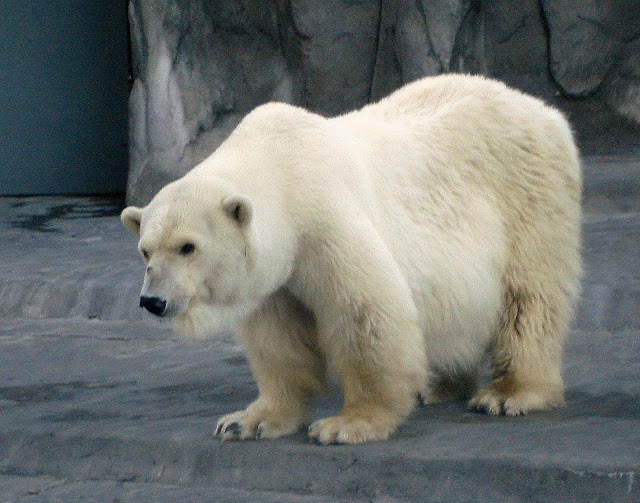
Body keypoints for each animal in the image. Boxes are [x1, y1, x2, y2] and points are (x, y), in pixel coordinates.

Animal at [121, 74, 582, 445]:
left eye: (187, 246)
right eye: (146, 249)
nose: (153, 301)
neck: (281, 172)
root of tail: (541, 109)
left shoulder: (324, 220)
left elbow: (365, 313)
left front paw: (346, 425)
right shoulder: (278, 271)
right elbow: (278, 340)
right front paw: (246, 421)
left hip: (527, 197)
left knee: (529, 299)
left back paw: (509, 393)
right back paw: (439, 386)